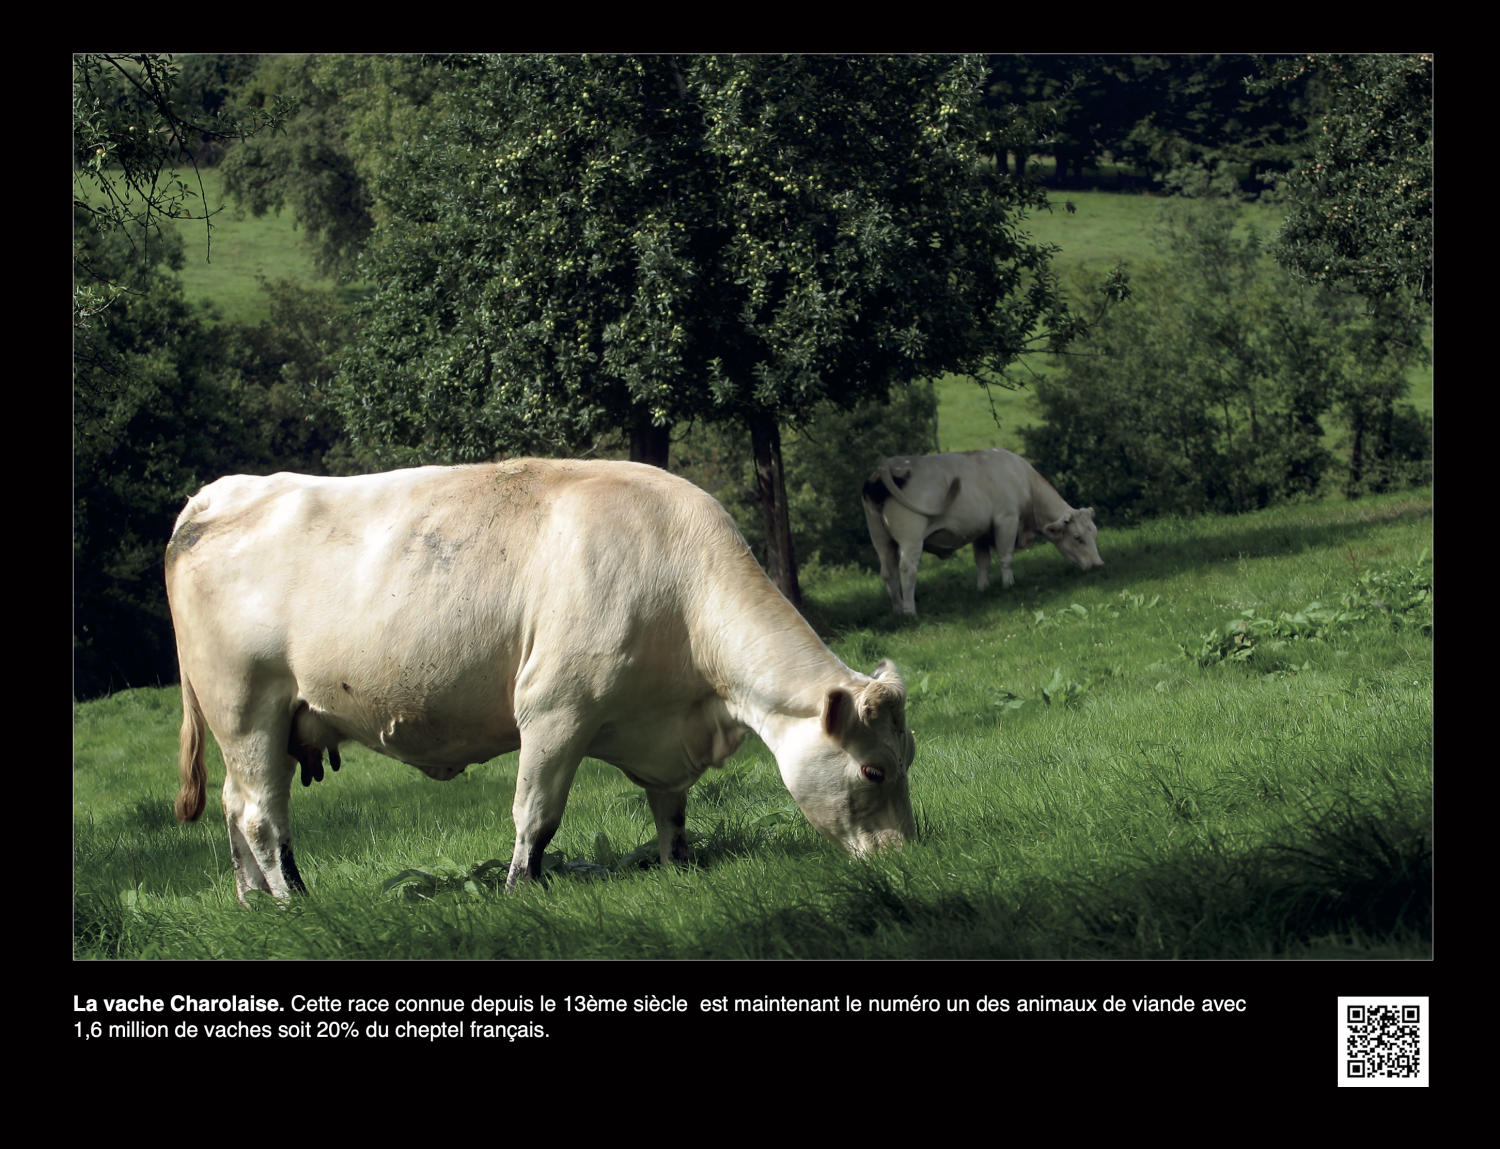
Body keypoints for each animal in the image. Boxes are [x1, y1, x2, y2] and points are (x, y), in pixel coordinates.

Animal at [165, 460, 917, 903]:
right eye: (874, 770)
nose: (905, 854)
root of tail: (214, 494)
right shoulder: (556, 711)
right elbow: (536, 815)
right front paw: (518, 889)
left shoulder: (663, 730)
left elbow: (671, 811)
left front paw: (678, 867)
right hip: (247, 706)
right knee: (261, 815)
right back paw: (295, 901)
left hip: (256, 722)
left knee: (234, 807)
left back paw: (254, 901)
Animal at [862, 447, 1103, 616]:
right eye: (1077, 537)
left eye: (1095, 534)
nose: (1098, 565)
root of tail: (888, 464)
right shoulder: (1006, 520)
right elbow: (1006, 557)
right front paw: (1008, 585)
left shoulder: (980, 531)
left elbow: (982, 561)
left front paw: (983, 588)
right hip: (911, 537)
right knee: (908, 569)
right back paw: (909, 610)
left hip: (880, 538)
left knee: (888, 572)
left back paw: (897, 609)